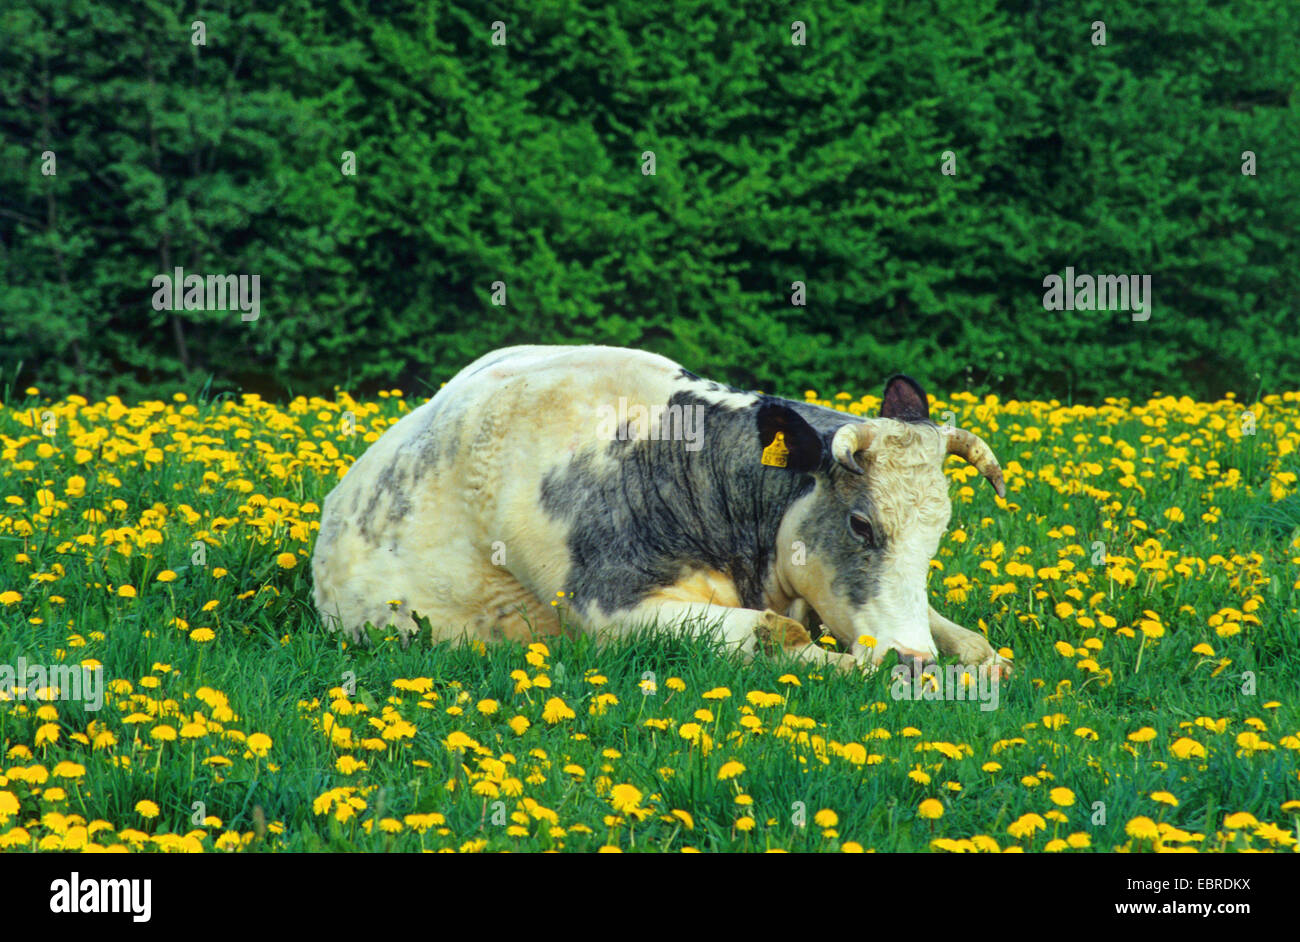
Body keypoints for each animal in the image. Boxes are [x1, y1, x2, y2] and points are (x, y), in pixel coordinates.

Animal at [309, 345, 1008, 675]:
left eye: (938, 534)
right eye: (861, 524)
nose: (913, 658)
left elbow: (977, 645)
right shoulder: (609, 611)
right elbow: (785, 636)